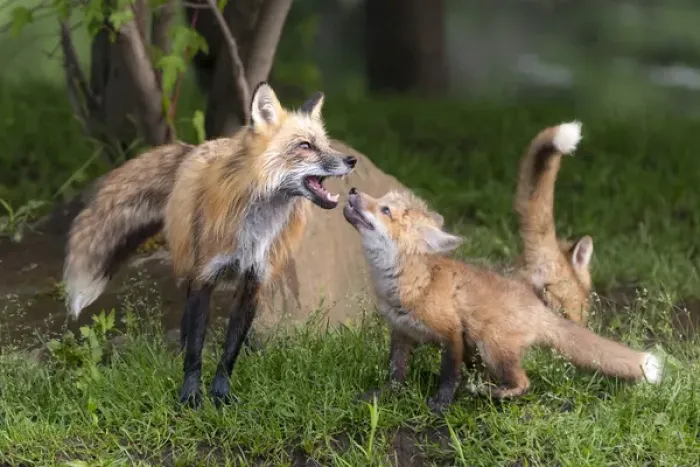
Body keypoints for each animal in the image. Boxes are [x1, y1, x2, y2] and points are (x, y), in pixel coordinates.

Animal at [63, 83, 357, 406]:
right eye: (305, 145)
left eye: (326, 144)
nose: (351, 160)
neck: (253, 231)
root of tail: (196, 148)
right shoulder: (204, 277)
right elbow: (195, 348)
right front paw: (191, 395)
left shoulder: (254, 282)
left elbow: (230, 351)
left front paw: (221, 393)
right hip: (189, 268)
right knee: (185, 325)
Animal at [343, 188, 663, 412]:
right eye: (380, 198)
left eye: (385, 209)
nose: (354, 191)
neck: (410, 285)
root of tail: (539, 308)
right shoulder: (401, 332)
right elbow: (395, 374)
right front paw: (382, 395)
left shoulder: (451, 333)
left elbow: (449, 375)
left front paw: (441, 403)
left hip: (491, 344)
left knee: (524, 383)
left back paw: (491, 393)